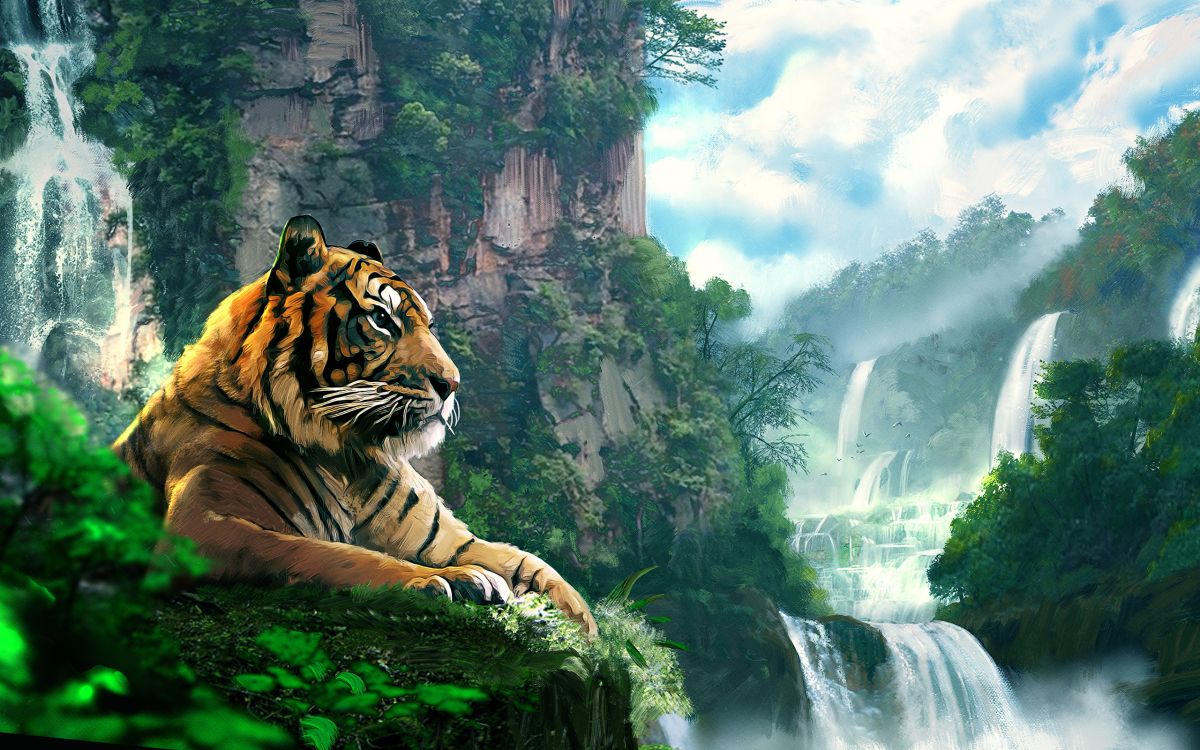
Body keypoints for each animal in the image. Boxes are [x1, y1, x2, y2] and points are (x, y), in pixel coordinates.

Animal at [113, 214, 596, 635]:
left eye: (429, 324)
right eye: (381, 319)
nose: (452, 383)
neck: (348, 455)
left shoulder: (444, 539)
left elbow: (529, 563)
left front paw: (587, 627)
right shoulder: (203, 525)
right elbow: (330, 554)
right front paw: (444, 580)